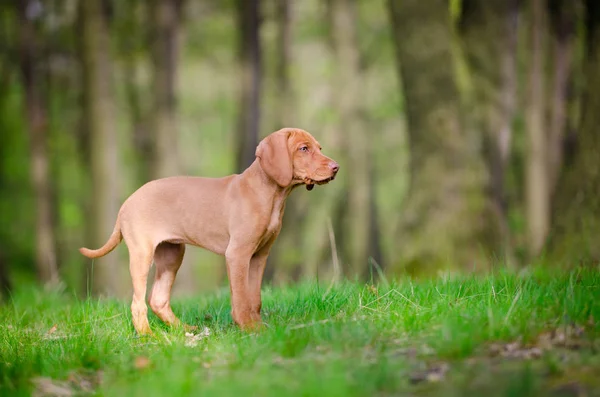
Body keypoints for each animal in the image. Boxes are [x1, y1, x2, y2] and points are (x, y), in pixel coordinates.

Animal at [79, 128, 338, 332]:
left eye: (319, 148)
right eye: (303, 149)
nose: (336, 167)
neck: (270, 195)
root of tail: (126, 204)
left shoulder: (259, 255)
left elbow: (254, 298)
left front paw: (258, 327)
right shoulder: (237, 254)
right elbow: (241, 298)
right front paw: (248, 328)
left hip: (172, 254)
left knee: (158, 299)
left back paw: (183, 330)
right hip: (143, 254)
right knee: (138, 303)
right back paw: (149, 336)